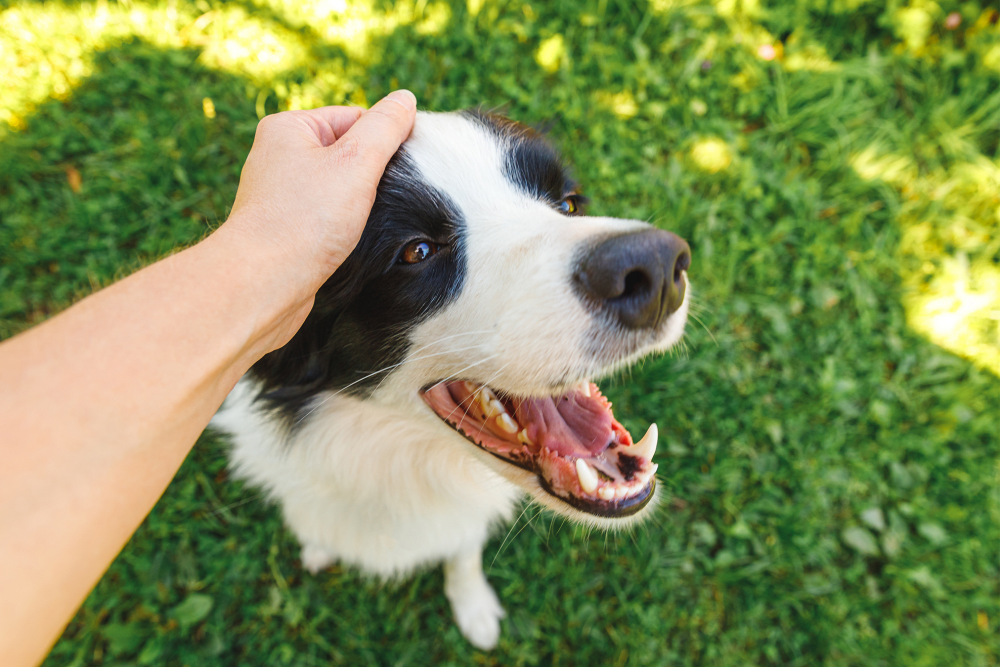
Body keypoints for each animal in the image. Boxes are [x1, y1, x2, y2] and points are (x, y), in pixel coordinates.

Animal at [211, 111, 692, 652]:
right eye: (417, 251)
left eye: (568, 204)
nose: (655, 265)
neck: (394, 461)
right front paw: (318, 545)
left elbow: (463, 553)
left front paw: (473, 606)